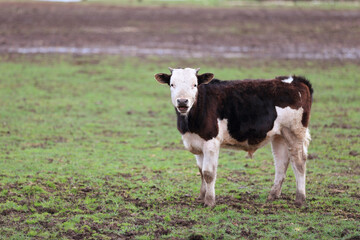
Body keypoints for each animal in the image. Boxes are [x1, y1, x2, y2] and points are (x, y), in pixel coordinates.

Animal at [155, 68, 312, 208]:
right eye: (172, 84)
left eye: (194, 84)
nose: (182, 102)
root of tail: (295, 80)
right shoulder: (197, 144)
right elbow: (201, 172)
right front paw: (201, 197)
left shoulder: (211, 143)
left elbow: (208, 173)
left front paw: (209, 201)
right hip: (279, 135)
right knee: (281, 162)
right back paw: (273, 195)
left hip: (294, 132)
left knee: (299, 162)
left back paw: (300, 199)